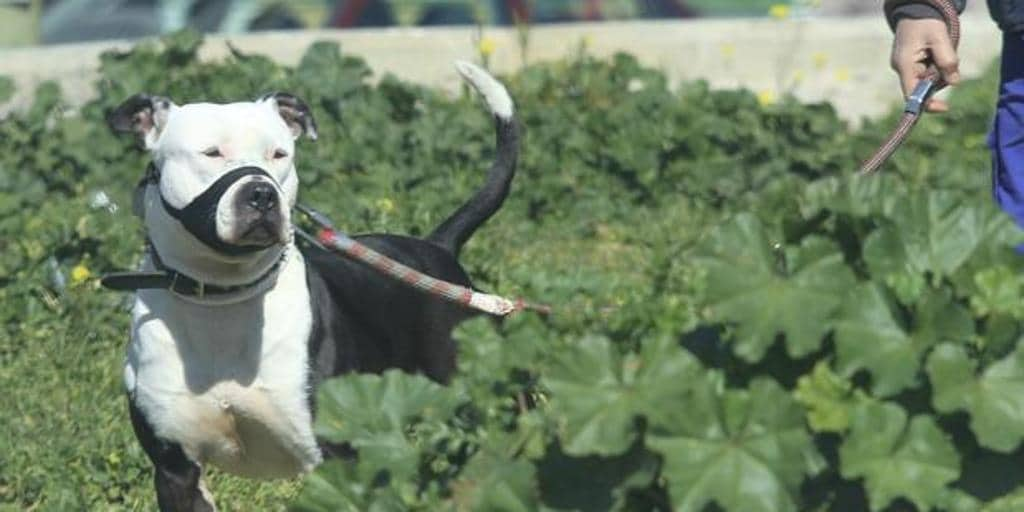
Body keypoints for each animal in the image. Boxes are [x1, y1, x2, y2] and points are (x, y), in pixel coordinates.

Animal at [108, 61, 516, 509]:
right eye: (212, 153)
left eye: (279, 154)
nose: (262, 194)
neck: (223, 298)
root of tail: (437, 247)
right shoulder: (175, 470)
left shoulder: (341, 456)